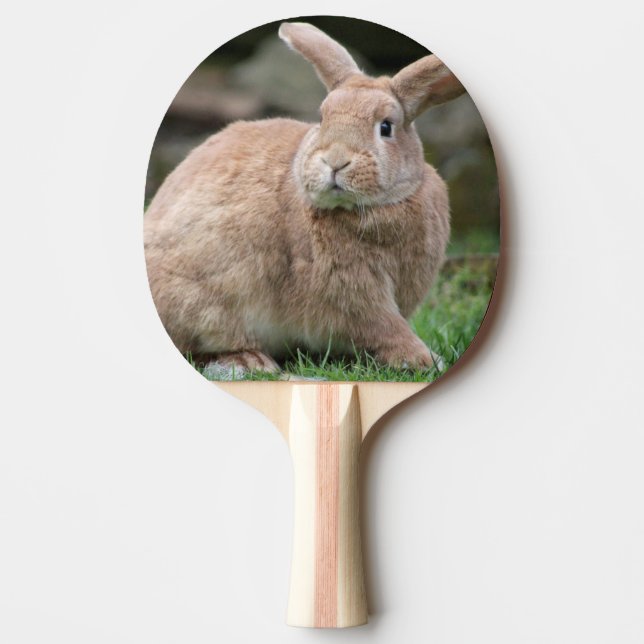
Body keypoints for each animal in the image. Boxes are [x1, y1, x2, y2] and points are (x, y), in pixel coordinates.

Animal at [144, 22, 465, 375]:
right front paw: (424, 359)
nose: (335, 162)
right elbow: (384, 326)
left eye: (386, 127)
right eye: (323, 118)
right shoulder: (353, 292)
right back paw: (250, 360)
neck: (372, 208)